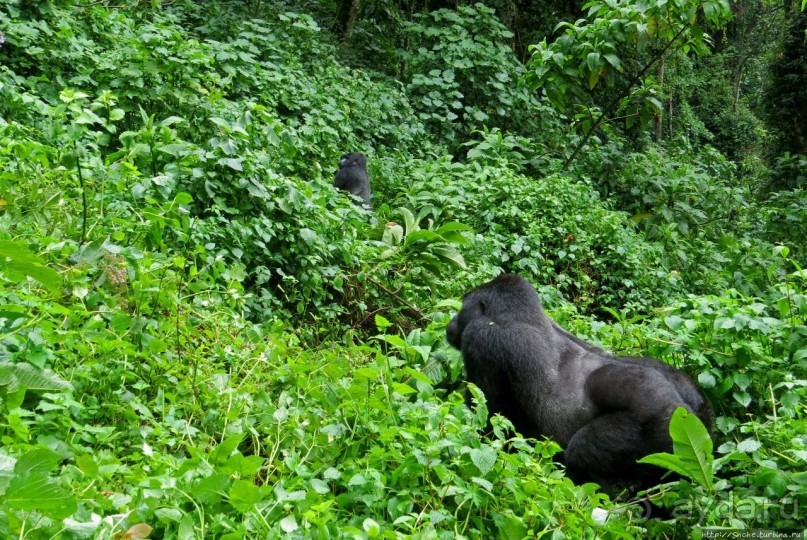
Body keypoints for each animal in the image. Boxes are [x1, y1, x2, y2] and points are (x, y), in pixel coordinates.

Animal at [448, 274, 712, 490]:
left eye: (462, 307)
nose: (450, 323)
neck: (519, 314)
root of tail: (689, 409)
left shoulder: (481, 335)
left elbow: (487, 414)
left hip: (663, 425)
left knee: (581, 454)